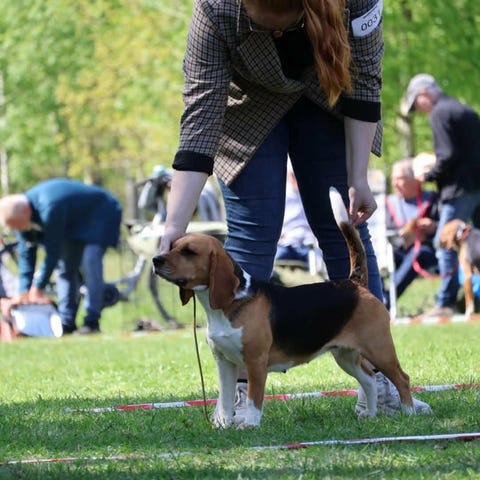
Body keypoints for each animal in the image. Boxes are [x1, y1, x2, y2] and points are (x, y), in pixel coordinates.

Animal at [152, 187, 414, 428]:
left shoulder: (255, 363)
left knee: (402, 378)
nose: (156, 259)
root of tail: (355, 283)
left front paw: (250, 424)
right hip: (345, 354)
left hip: (379, 348)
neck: (229, 305)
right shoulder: (224, 362)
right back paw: (371, 415)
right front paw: (224, 426)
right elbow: (225, 400)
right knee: (368, 380)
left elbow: (254, 399)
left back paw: (409, 413)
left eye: (189, 252)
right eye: (172, 246)